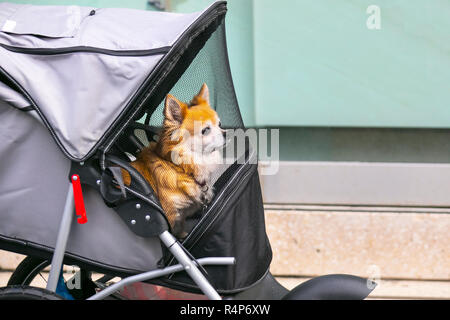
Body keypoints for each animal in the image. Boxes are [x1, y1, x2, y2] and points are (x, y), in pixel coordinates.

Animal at [121, 82, 225, 238]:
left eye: (219, 124)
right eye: (205, 130)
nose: (226, 133)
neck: (180, 168)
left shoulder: (180, 217)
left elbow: (180, 229)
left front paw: (183, 236)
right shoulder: (170, 216)